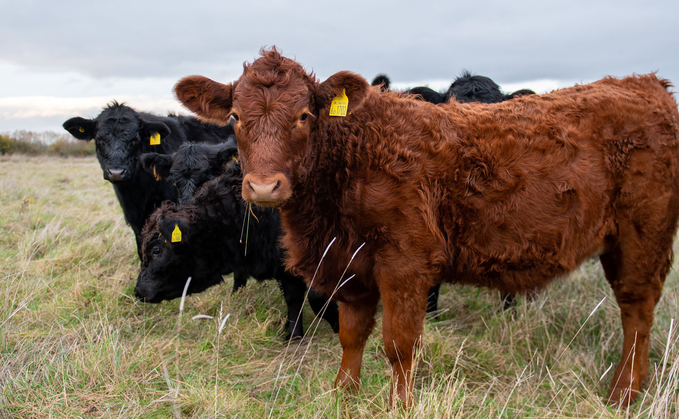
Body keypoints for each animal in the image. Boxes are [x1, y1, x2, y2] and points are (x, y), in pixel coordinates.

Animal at [135, 151, 340, 342]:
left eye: (156, 249)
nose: (139, 291)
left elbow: (317, 297)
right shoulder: (283, 266)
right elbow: (294, 298)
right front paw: (294, 335)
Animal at [175, 47, 679, 408]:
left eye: (304, 115)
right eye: (236, 117)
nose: (263, 186)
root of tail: (647, 84)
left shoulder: (406, 262)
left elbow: (399, 344)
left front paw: (398, 405)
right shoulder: (349, 264)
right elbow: (351, 334)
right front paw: (343, 395)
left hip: (643, 236)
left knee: (637, 313)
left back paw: (623, 394)